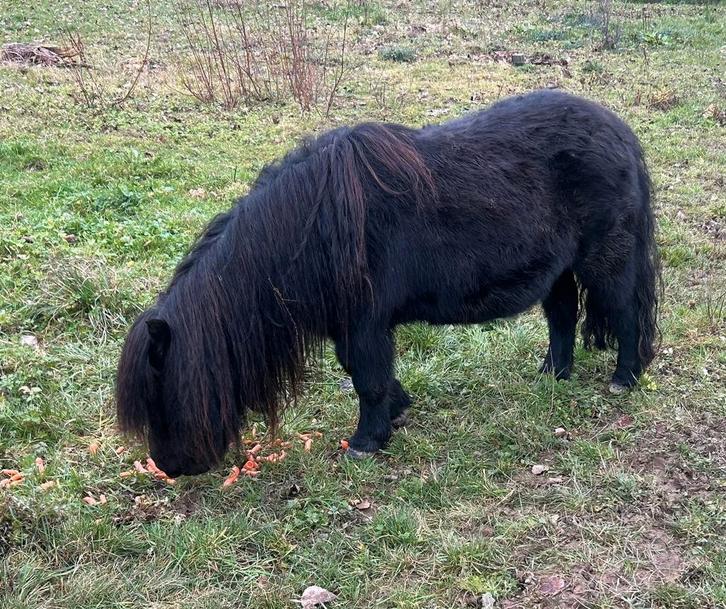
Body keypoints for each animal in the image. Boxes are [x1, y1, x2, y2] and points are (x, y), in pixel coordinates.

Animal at [116, 90, 660, 476]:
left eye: (166, 392)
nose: (170, 467)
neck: (310, 232)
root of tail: (620, 132)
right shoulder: (351, 326)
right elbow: (366, 374)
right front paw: (396, 413)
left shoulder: (365, 323)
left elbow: (367, 379)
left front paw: (365, 442)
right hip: (559, 268)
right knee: (563, 314)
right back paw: (552, 374)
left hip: (604, 260)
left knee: (625, 313)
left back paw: (624, 378)